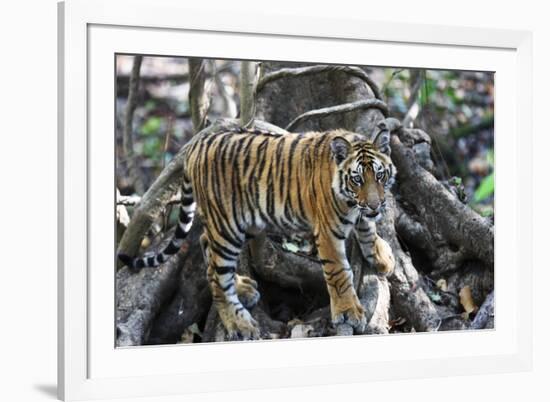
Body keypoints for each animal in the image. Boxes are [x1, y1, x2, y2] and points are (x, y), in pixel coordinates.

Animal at [119, 125, 396, 340]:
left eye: (380, 175)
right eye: (357, 179)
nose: (375, 205)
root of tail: (198, 143)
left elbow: (368, 229)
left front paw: (382, 257)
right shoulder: (328, 231)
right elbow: (339, 273)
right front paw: (349, 312)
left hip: (246, 223)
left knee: (206, 244)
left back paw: (242, 287)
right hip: (227, 226)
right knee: (217, 275)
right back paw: (239, 323)